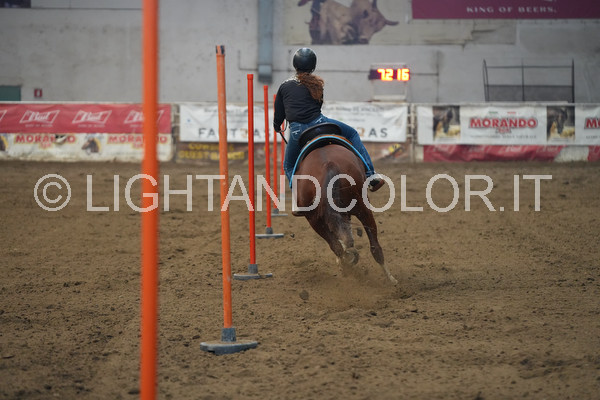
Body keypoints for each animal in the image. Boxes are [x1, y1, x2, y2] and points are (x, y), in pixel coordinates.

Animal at [291, 123, 397, 284]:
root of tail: (328, 164)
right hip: (360, 208)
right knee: (370, 246)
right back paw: (388, 278)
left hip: (315, 219)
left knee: (339, 245)